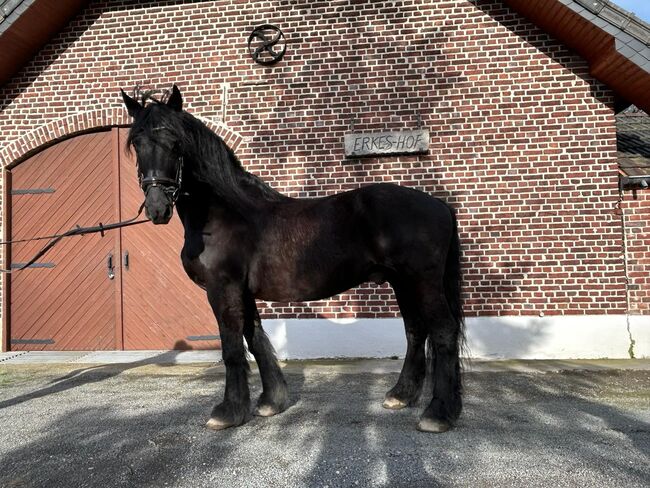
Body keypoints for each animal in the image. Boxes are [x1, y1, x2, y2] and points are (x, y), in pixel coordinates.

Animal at [121, 86, 464, 432]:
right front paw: (271, 401)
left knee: (443, 331)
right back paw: (401, 395)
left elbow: (232, 348)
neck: (224, 216)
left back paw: (437, 413)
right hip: (402, 282)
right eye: (137, 143)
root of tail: (440, 205)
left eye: (176, 142)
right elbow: (255, 339)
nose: (157, 207)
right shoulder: (242, 292)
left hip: (421, 281)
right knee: (415, 330)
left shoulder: (223, 289)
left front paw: (228, 412)